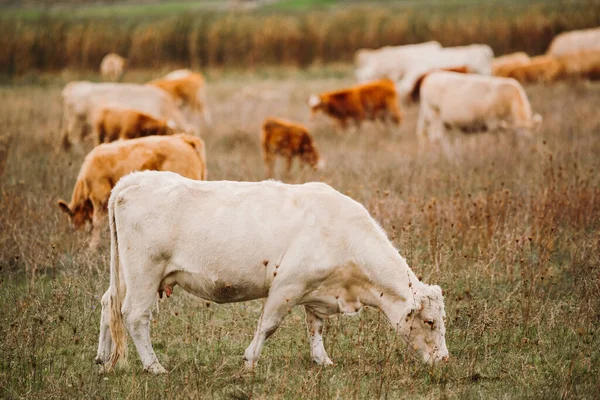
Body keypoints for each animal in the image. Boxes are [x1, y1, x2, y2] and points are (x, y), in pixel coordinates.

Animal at [57, 134, 206, 247]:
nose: (77, 238)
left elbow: (97, 224)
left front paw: (92, 247)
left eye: (72, 223)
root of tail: (184, 139)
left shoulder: (100, 196)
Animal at [96, 170, 448, 374]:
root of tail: (134, 179)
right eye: (430, 322)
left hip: (125, 275)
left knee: (108, 303)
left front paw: (322, 360)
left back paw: (103, 359)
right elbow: (269, 324)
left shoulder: (316, 290)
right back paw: (154, 367)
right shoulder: (288, 285)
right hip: (144, 272)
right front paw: (250, 359)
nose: (444, 359)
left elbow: (315, 327)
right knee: (135, 316)